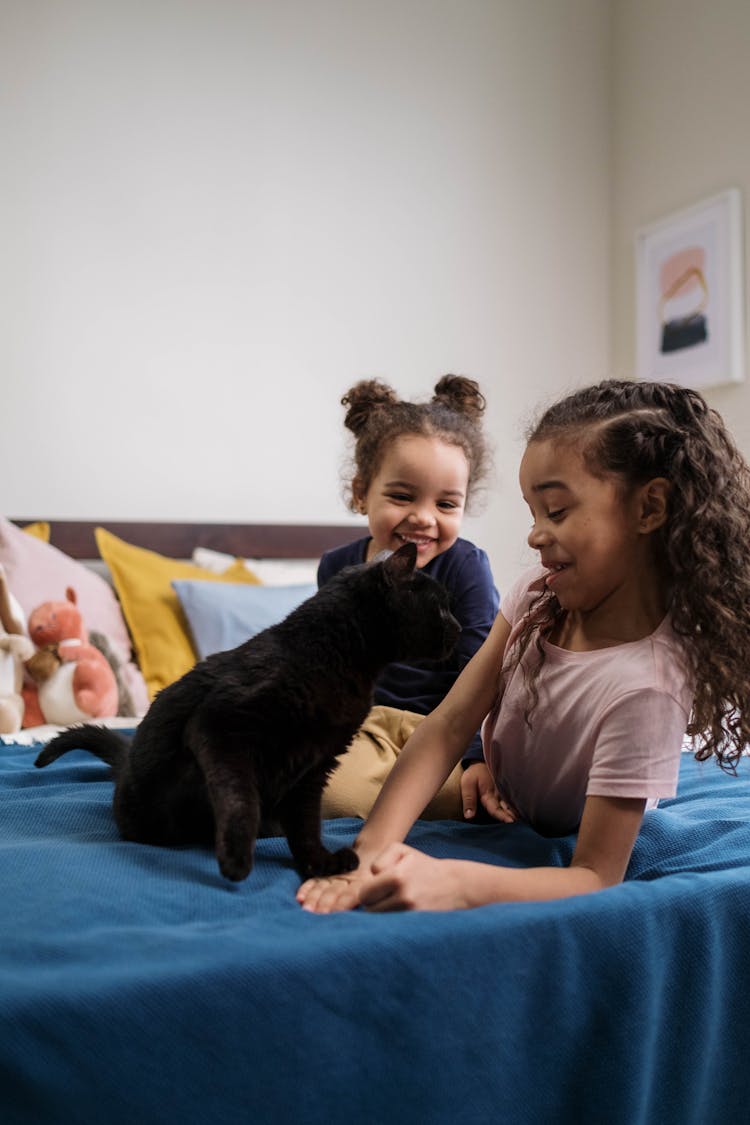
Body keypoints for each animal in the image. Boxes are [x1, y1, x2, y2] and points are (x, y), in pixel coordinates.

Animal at [35, 542, 461, 877]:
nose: (458, 628)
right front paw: (237, 859)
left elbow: (307, 822)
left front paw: (318, 864)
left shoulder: (315, 765)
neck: (331, 654)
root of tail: (125, 766)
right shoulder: (221, 728)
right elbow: (241, 800)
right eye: (440, 607)